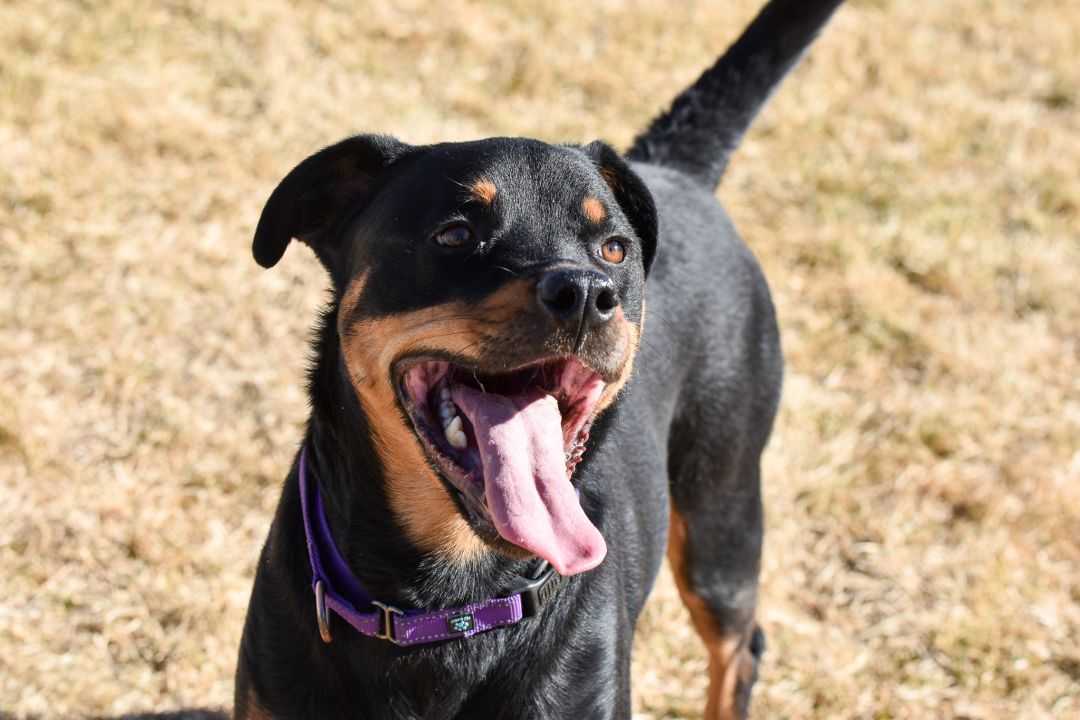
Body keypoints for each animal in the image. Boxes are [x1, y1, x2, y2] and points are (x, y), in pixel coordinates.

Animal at [234, 2, 842, 716]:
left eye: (613, 248)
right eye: (456, 233)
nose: (586, 294)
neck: (453, 605)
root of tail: (677, 170)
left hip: (723, 510)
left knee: (740, 647)